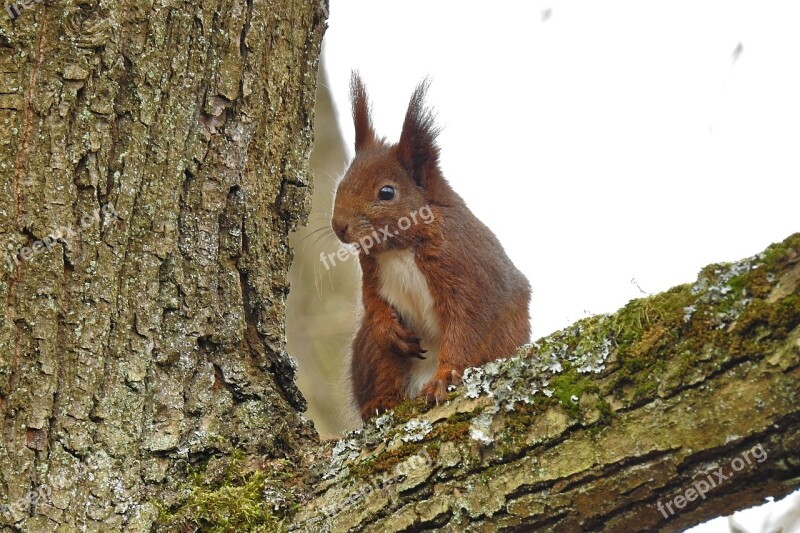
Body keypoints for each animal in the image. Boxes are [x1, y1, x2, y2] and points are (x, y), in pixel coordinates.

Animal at [332, 71, 532, 420]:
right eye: (342, 183)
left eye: (387, 192)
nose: (338, 226)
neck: (398, 249)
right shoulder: (371, 271)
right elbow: (372, 302)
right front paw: (388, 328)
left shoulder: (466, 270)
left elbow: (467, 327)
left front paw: (444, 378)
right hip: (371, 350)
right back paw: (379, 403)